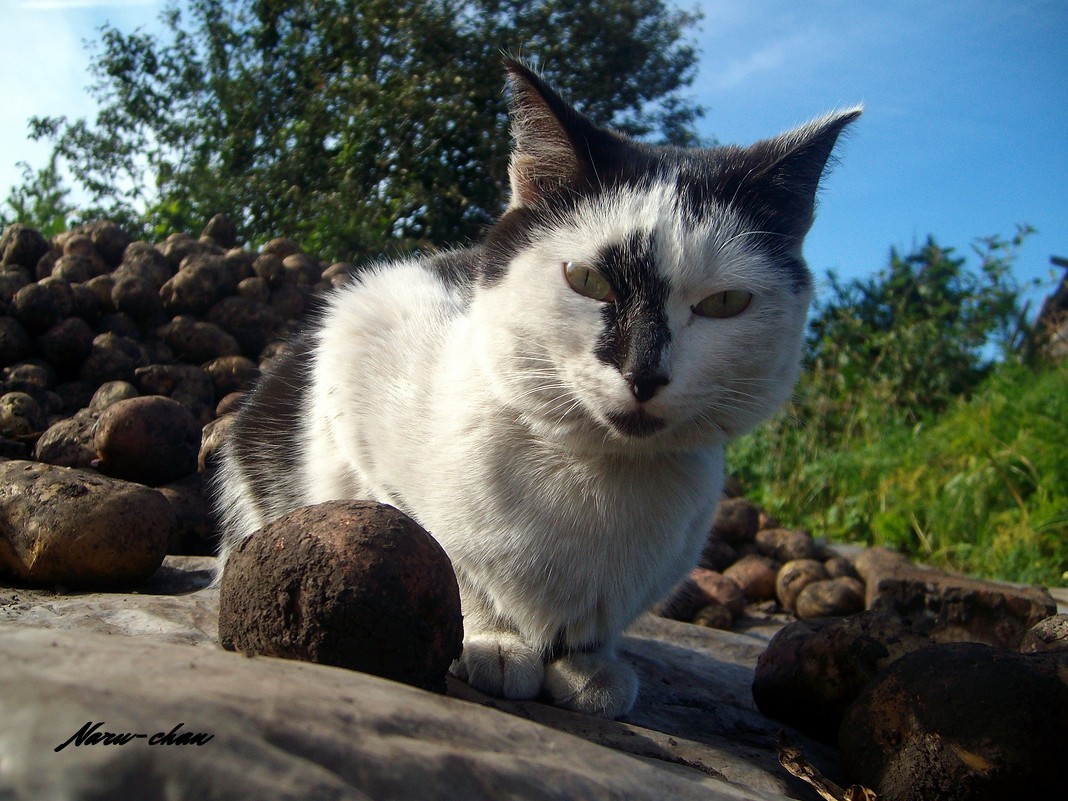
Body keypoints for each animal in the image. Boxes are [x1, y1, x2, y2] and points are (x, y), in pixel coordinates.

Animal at [214, 59, 858, 717]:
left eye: (724, 303)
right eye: (587, 279)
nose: (644, 372)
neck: (595, 479)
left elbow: (597, 629)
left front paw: (589, 667)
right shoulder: (359, 345)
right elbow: (447, 558)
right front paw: (495, 640)